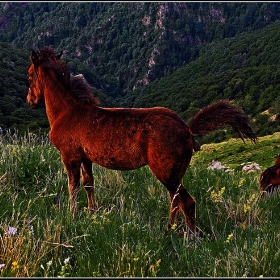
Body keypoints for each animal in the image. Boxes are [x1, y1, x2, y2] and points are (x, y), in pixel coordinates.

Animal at [27, 47, 258, 235]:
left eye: (29, 76)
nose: (30, 102)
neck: (67, 112)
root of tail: (187, 128)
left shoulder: (70, 156)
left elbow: (72, 187)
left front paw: (72, 216)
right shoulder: (85, 157)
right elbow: (88, 184)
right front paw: (92, 213)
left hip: (166, 171)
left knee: (186, 201)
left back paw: (188, 236)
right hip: (174, 173)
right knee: (176, 200)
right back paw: (169, 229)